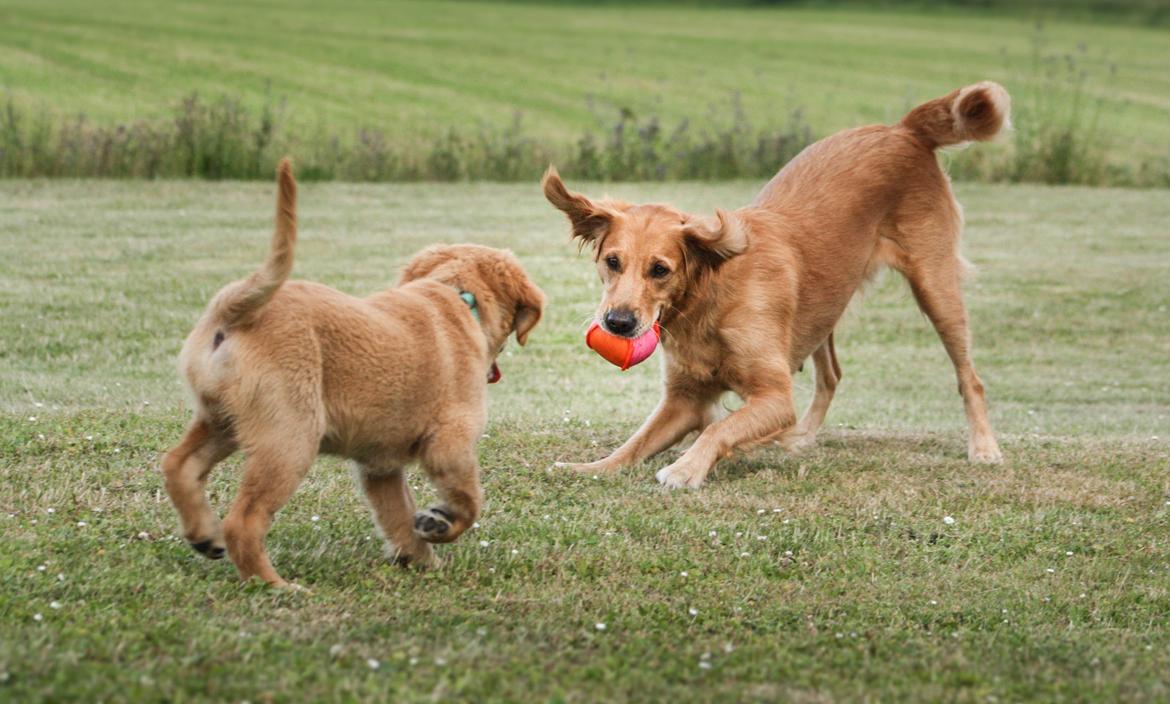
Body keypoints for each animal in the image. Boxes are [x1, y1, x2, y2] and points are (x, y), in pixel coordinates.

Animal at [162, 160, 545, 587]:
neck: (459, 297)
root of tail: (235, 311)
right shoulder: (450, 441)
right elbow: (469, 501)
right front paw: (439, 524)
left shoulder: (380, 466)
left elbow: (397, 517)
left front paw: (420, 560)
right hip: (290, 435)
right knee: (244, 520)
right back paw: (276, 585)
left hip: (224, 418)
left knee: (178, 464)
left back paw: (203, 535)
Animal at [542, 82, 1010, 484]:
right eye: (612, 262)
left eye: (660, 269)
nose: (618, 323)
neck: (710, 299)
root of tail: (903, 129)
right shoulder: (684, 399)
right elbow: (636, 443)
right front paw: (591, 467)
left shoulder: (775, 397)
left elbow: (719, 429)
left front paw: (685, 469)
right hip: (825, 302)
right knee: (832, 374)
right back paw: (802, 437)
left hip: (935, 287)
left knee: (970, 377)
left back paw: (984, 447)